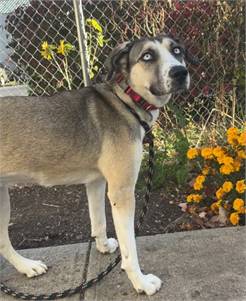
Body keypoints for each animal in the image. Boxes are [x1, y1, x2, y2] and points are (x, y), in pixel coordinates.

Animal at [0, 34, 193, 294]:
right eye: (147, 56)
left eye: (177, 50)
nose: (180, 72)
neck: (126, 101)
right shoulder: (122, 192)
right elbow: (130, 248)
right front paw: (140, 282)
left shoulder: (96, 182)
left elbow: (98, 221)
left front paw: (102, 247)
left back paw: (26, 267)